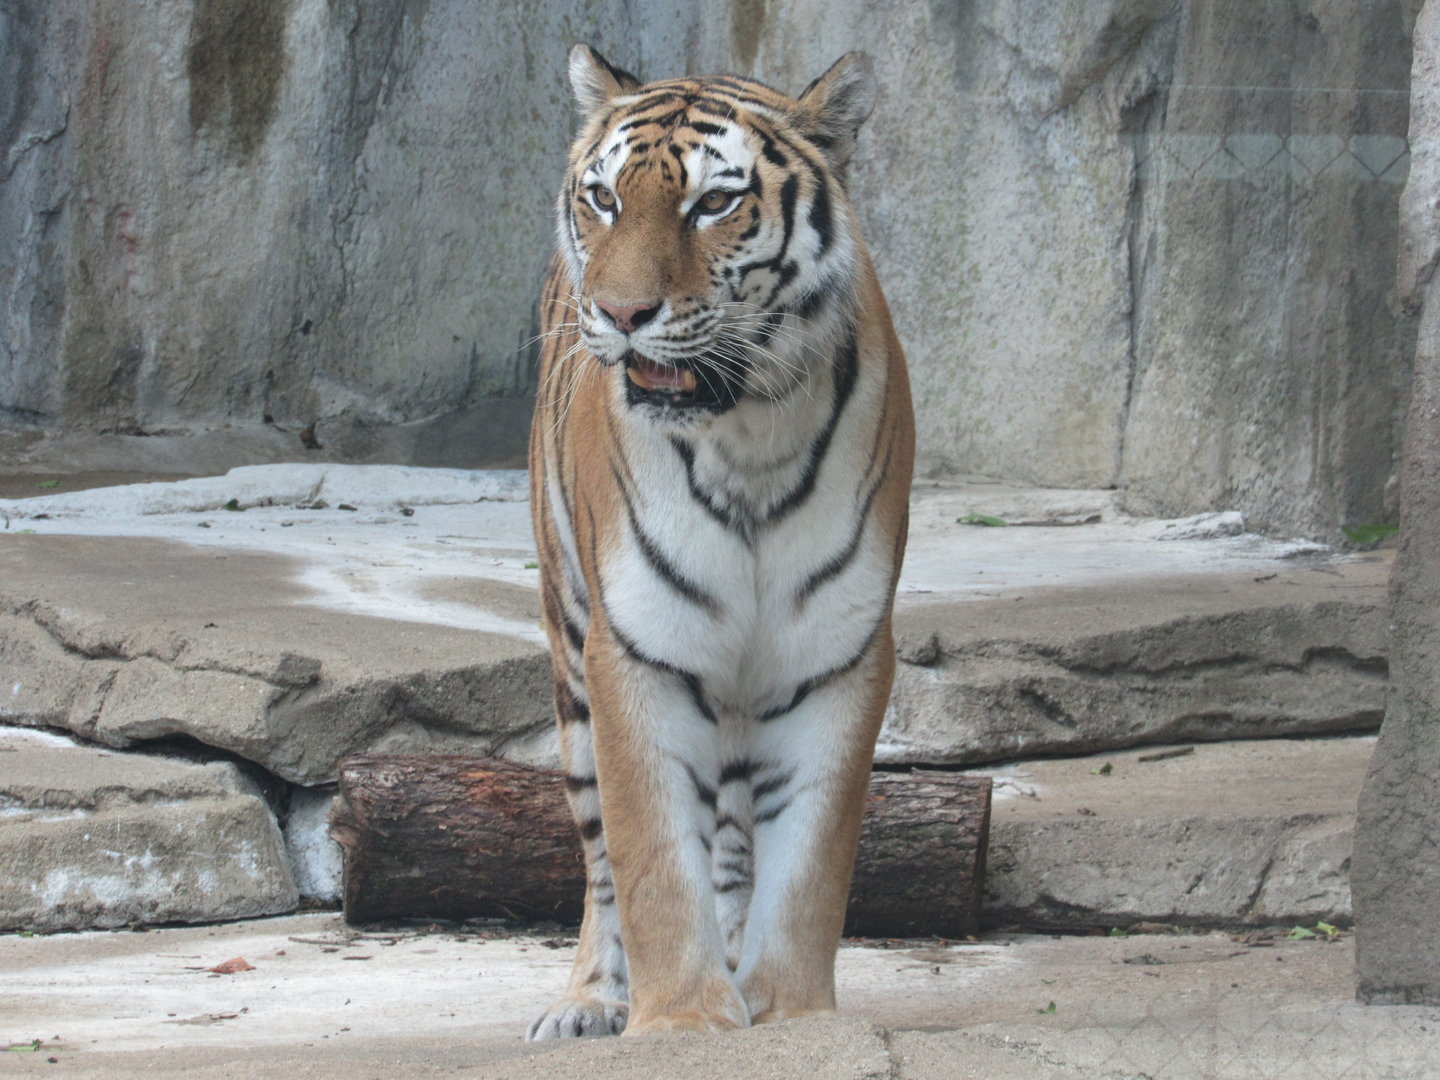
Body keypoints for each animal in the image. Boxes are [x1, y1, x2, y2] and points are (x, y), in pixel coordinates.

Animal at [527, 43, 914, 1039]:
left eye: (713, 204)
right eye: (604, 198)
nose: (620, 314)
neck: (750, 439)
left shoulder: (837, 654)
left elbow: (807, 866)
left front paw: (793, 1016)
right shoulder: (638, 648)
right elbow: (654, 862)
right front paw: (684, 1023)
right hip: (571, 655)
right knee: (600, 860)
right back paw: (587, 1001)